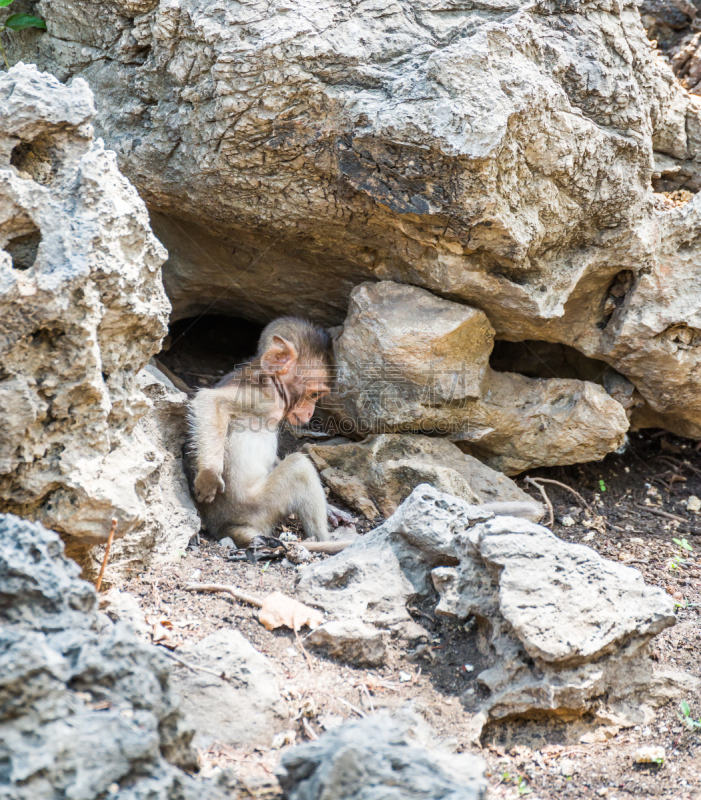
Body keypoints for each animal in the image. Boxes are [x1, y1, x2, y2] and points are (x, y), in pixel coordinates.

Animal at [185, 316, 340, 552]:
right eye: (313, 394)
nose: (311, 412)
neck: (271, 378)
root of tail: (226, 528)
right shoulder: (266, 399)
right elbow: (211, 401)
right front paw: (208, 477)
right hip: (255, 508)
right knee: (299, 466)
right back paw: (326, 541)